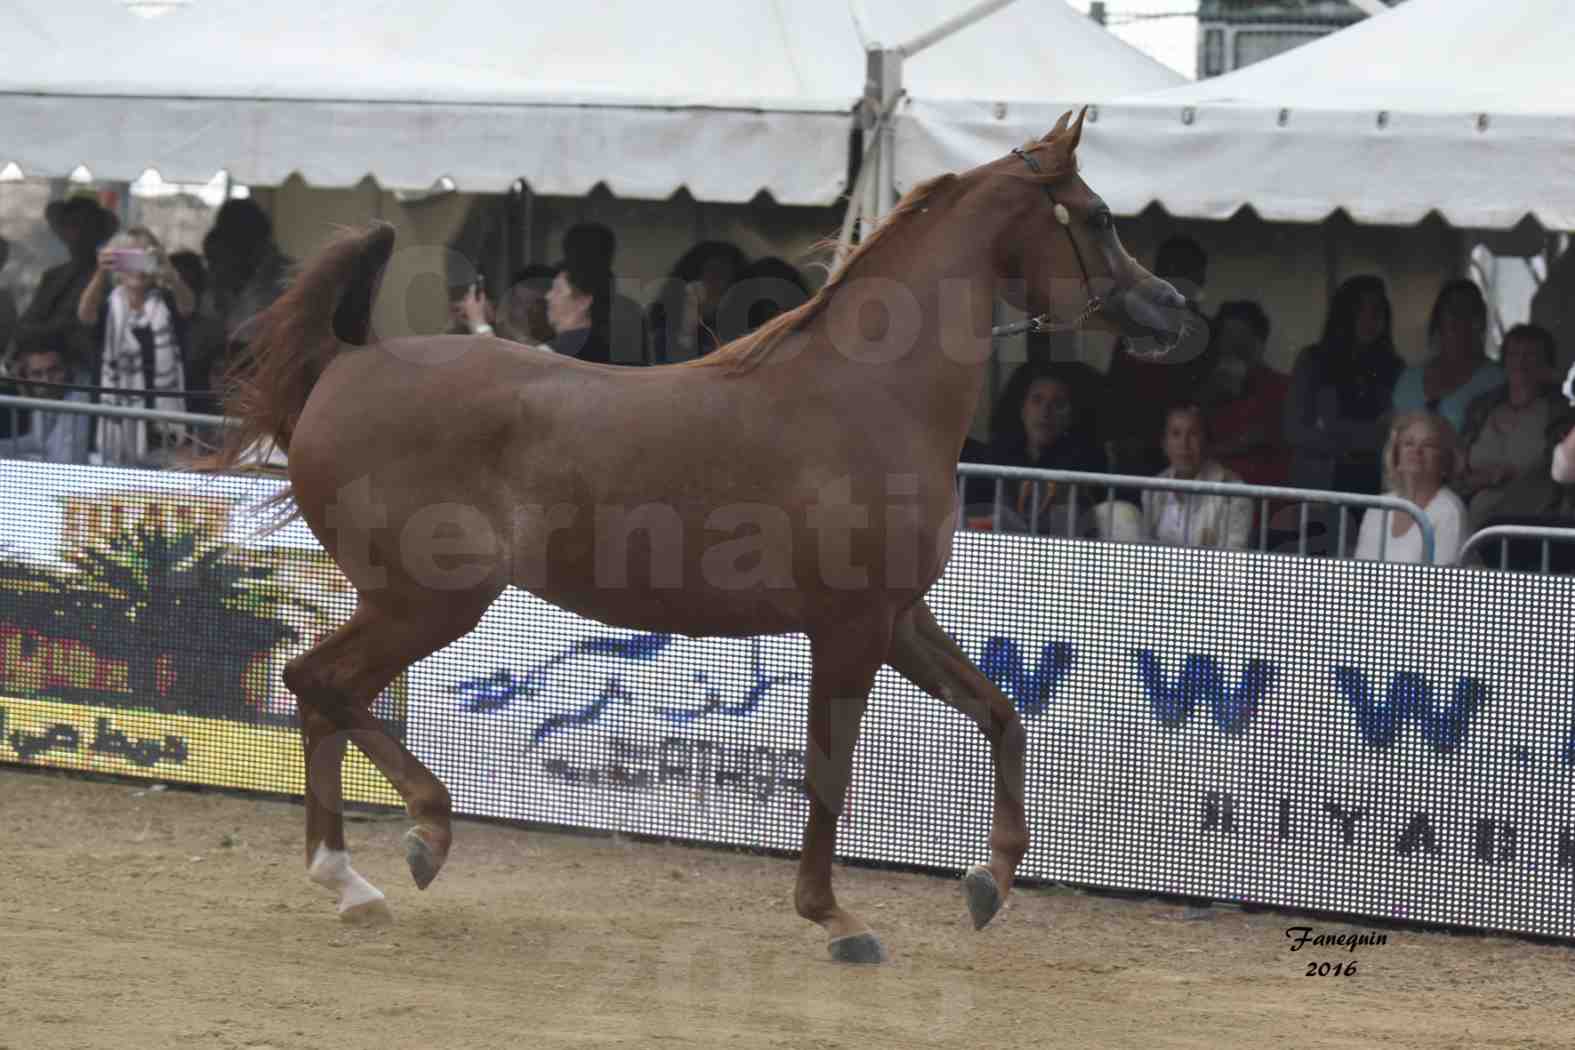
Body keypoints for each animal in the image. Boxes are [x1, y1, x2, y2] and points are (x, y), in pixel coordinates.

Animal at [203, 110, 1184, 963]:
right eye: (1098, 217)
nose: (1170, 308)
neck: (867, 396)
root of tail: (348, 362)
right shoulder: (850, 628)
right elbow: (828, 774)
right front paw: (835, 918)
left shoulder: (900, 617)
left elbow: (1001, 715)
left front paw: (990, 878)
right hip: (428, 602)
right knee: (317, 683)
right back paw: (421, 835)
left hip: (405, 604)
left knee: (324, 700)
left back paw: (350, 880)